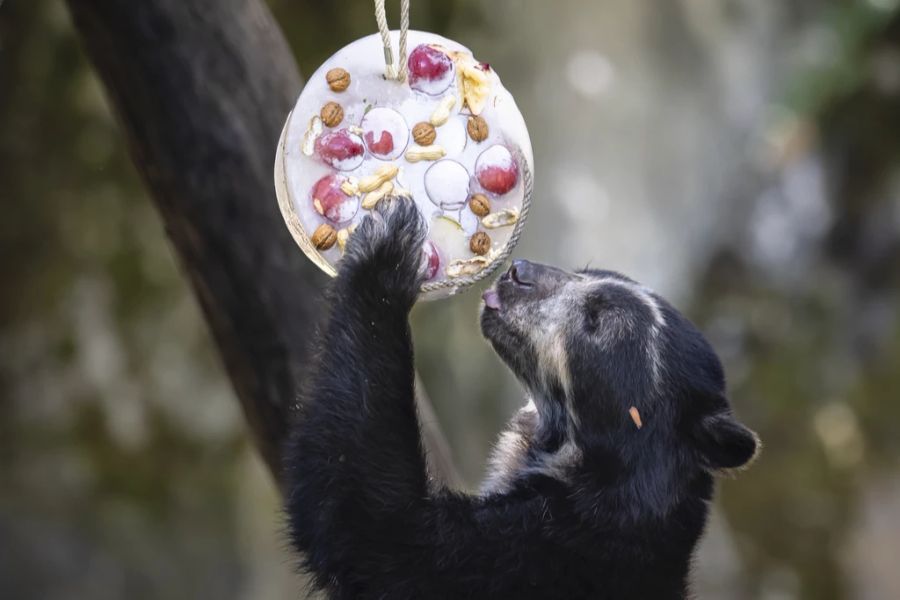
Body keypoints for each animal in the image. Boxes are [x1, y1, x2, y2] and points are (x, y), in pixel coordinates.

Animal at [284, 199, 760, 596]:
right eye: (582, 271)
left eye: (597, 321)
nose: (517, 272)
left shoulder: (533, 557)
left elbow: (379, 534)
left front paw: (387, 253)